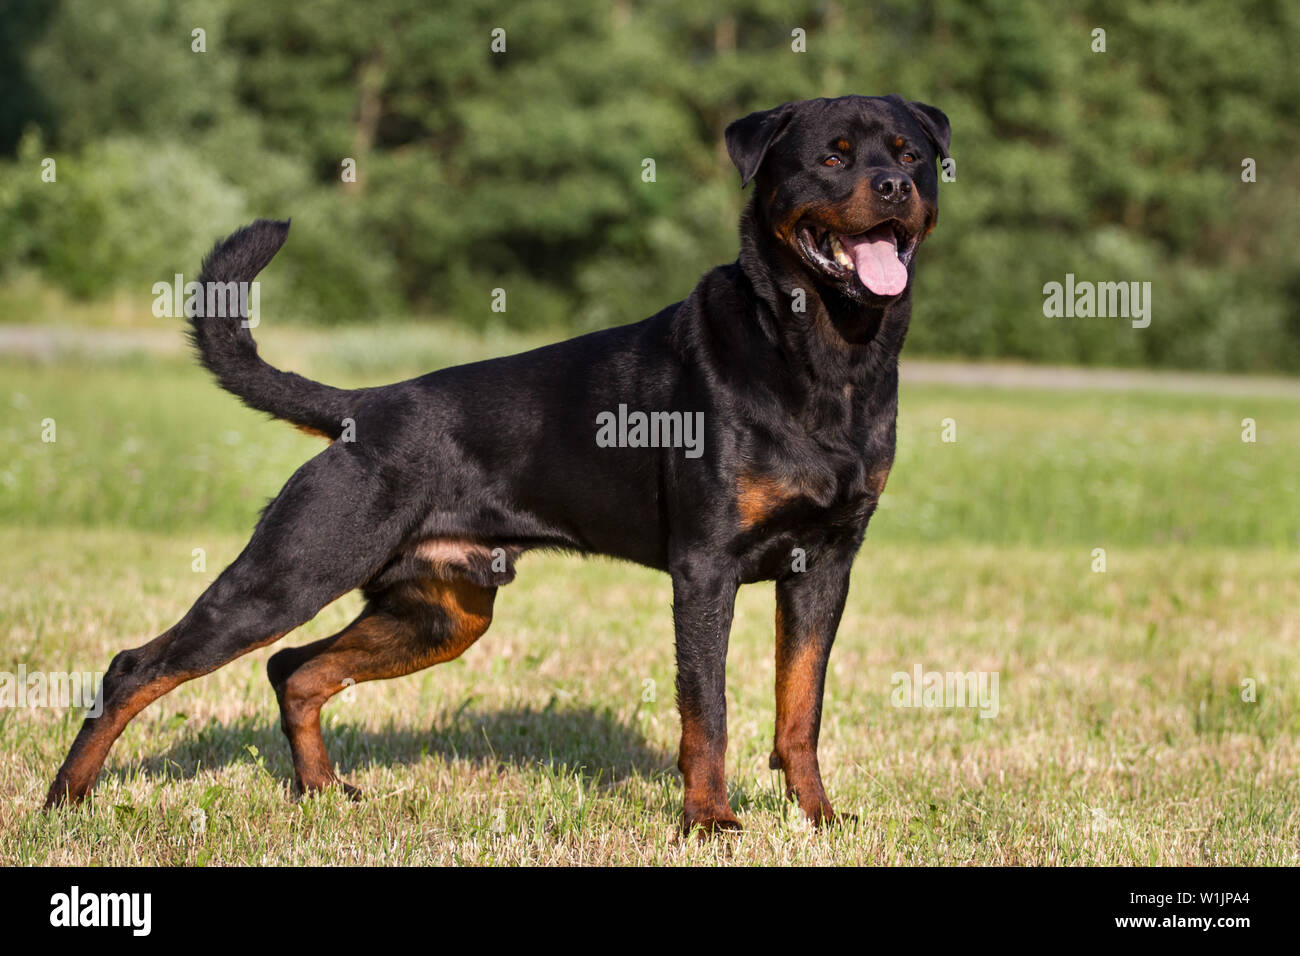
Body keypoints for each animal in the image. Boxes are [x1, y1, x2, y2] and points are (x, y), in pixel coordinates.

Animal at [48, 93, 946, 832]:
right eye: (832, 157)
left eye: (909, 154)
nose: (893, 187)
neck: (826, 355)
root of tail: (361, 409)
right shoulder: (706, 568)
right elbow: (708, 712)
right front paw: (709, 821)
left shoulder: (825, 563)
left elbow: (801, 708)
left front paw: (820, 818)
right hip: (293, 570)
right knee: (138, 667)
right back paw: (67, 800)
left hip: (440, 612)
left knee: (294, 669)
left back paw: (322, 792)